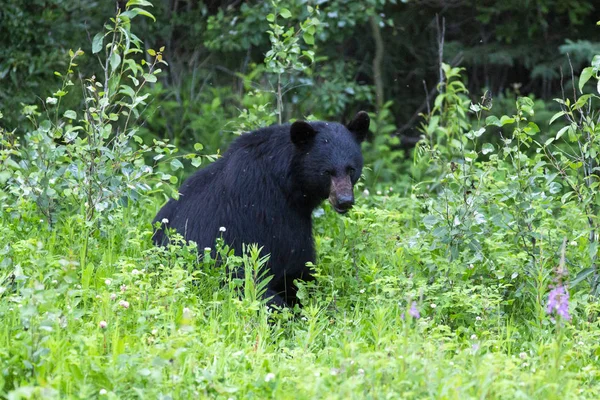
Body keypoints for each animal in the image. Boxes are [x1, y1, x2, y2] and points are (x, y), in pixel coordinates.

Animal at [154, 111, 370, 306]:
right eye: (326, 172)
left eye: (351, 169)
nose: (344, 200)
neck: (287, 180)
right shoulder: (276, 211)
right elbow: (295, 262)